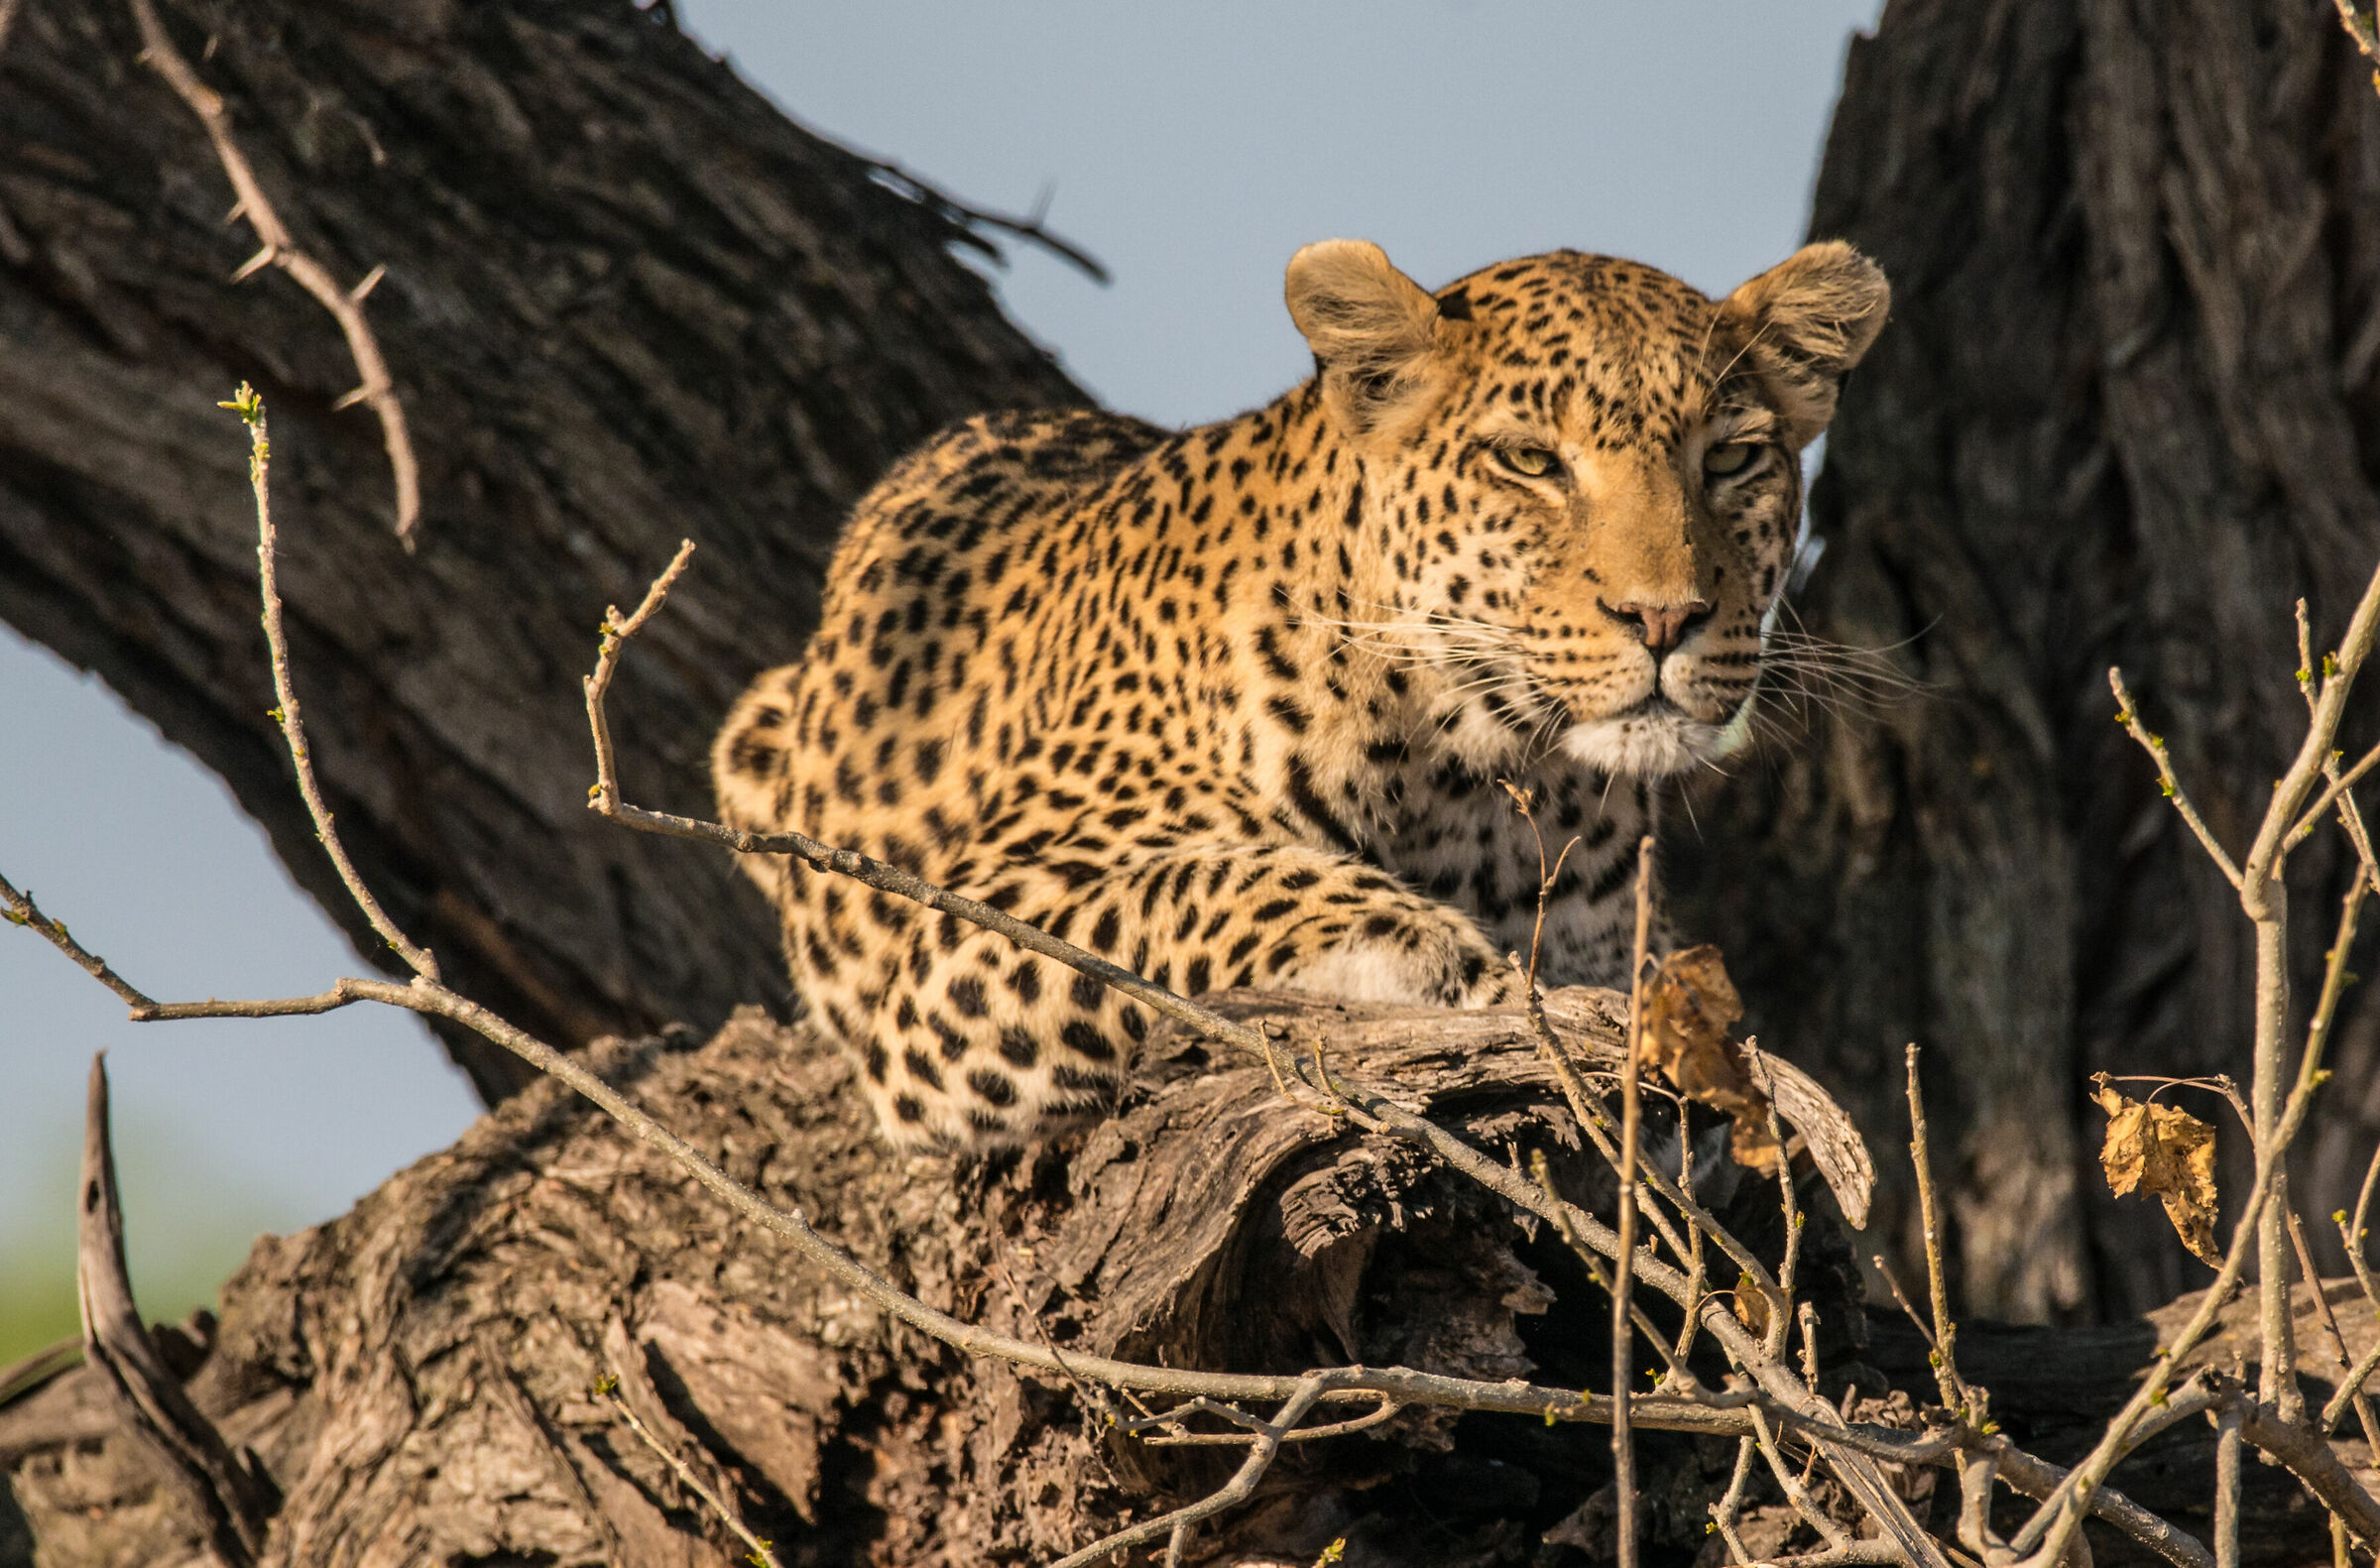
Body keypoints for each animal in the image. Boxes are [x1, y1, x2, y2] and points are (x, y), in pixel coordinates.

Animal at [713, 238, 1889, 1149]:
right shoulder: (972, 925)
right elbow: (1205, 880)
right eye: (1529, 461)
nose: (1663, 618)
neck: (1488, 780)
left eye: (1732, 460)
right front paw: (1432, 955)